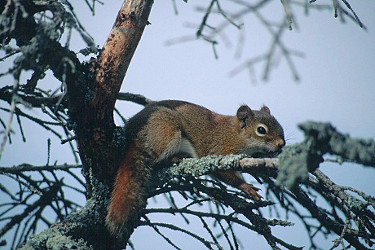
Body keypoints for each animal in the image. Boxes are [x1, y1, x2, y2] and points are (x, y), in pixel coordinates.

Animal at [106, 99, 284, 236]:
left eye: (280, 126)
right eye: (261, 130)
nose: (281, 144)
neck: (234, 134)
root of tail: (132, 135)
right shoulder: (218, 151)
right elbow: (223, 174)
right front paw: (245, 186)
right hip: (165, 129)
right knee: (156, 160)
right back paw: (175, 157)